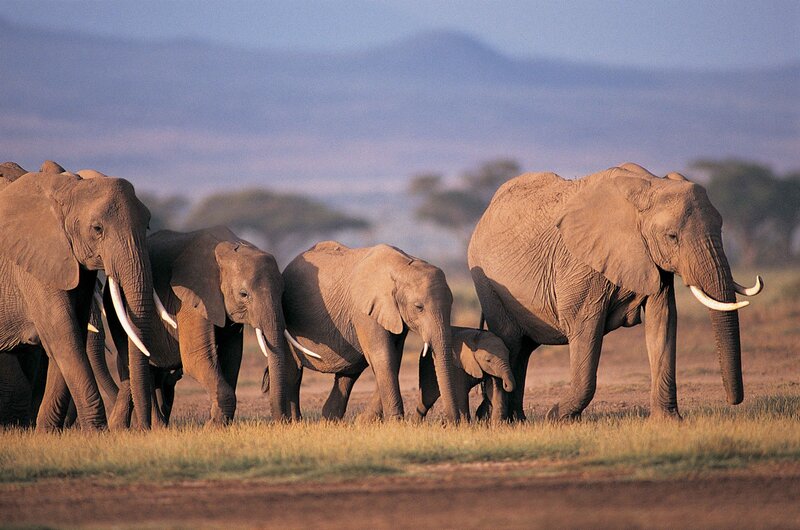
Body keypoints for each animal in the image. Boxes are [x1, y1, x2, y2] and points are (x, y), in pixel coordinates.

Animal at [0, 162, 156, 430]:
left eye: (147, 225)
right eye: (97, 229)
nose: (143, 428)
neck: (67, 188)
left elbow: (72, 333)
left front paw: (45, 432)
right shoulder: (32, 262)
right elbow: (63, 333)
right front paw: (97, 432)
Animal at [105, 226, 291, 427]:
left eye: (283, 292)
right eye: (244, 294)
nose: (281, 421)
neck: (228, 247)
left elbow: (232, 357)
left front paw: (217, 422)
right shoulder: (191, 298)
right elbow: (197, 358)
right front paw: (212, 427)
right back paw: (150, 427)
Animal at [276, 241, 462, 422]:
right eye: (419, 307)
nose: (451, 423)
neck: (402, 267)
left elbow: (394, 357)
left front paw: (365, 422)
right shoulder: (364, 311)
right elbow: (383, 355)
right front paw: (395, 422)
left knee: (348, 374)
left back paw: (330, 420)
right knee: (293, 373)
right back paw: (295, 421)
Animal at [468, 163, 762, 422]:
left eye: (721, 228)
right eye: (672, 237)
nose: (733, 401)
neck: (650, 185)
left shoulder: (652, 262)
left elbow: (663, 323)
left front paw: (669, 422)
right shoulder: (581, 264)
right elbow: (586, 328)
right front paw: (557, 418)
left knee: (524, 350)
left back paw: (517, 420)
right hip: (488, 284)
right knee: (511, 342)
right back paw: (502, 420)